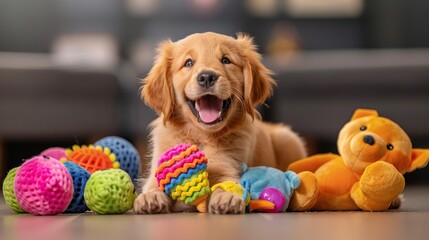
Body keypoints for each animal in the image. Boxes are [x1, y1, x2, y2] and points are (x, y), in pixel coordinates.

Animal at [134, 31, 304, 214]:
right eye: (188, 63)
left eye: (226, 60)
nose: (207, 77)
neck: (201, 137)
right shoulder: (159, 167)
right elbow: (154, 184)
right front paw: (150, 197)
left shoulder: (228, 167)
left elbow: (228, 183)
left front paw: (226, 197)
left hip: (288, 139)